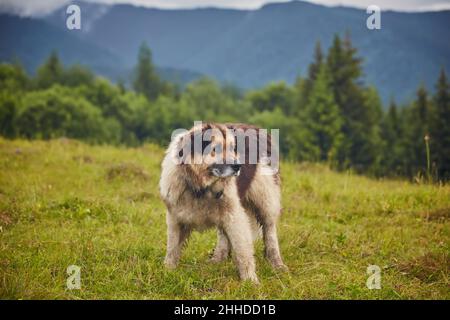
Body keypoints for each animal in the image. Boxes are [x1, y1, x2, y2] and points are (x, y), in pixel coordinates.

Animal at [158, 122, 284, 282]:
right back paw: (218, 259)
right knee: (223, 235)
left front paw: (250, 280)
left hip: (265, 199)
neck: (201, 187)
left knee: (269, 231)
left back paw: (277, 264)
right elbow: (172, 247)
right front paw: (168, 270)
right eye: (216, 149)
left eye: (232, 148)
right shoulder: (175, 217)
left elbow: (242, 251)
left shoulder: (235, 215)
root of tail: (254, 127)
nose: (238, 166)